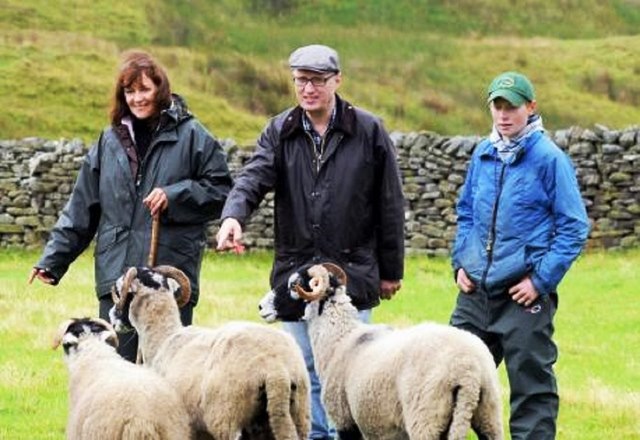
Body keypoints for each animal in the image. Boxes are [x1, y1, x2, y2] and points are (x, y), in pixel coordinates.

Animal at [111, 264, 312, 440]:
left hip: (228, 418)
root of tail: (276, 369)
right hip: (297, 416)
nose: (113, 317)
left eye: (119, 290)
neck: (164, 339)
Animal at [258, 262, 502, 438]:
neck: (340, 340)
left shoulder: (345, 420)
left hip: (426, 418)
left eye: (293, 285)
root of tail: (468, 370)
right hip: (489, 415)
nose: (260, 307)